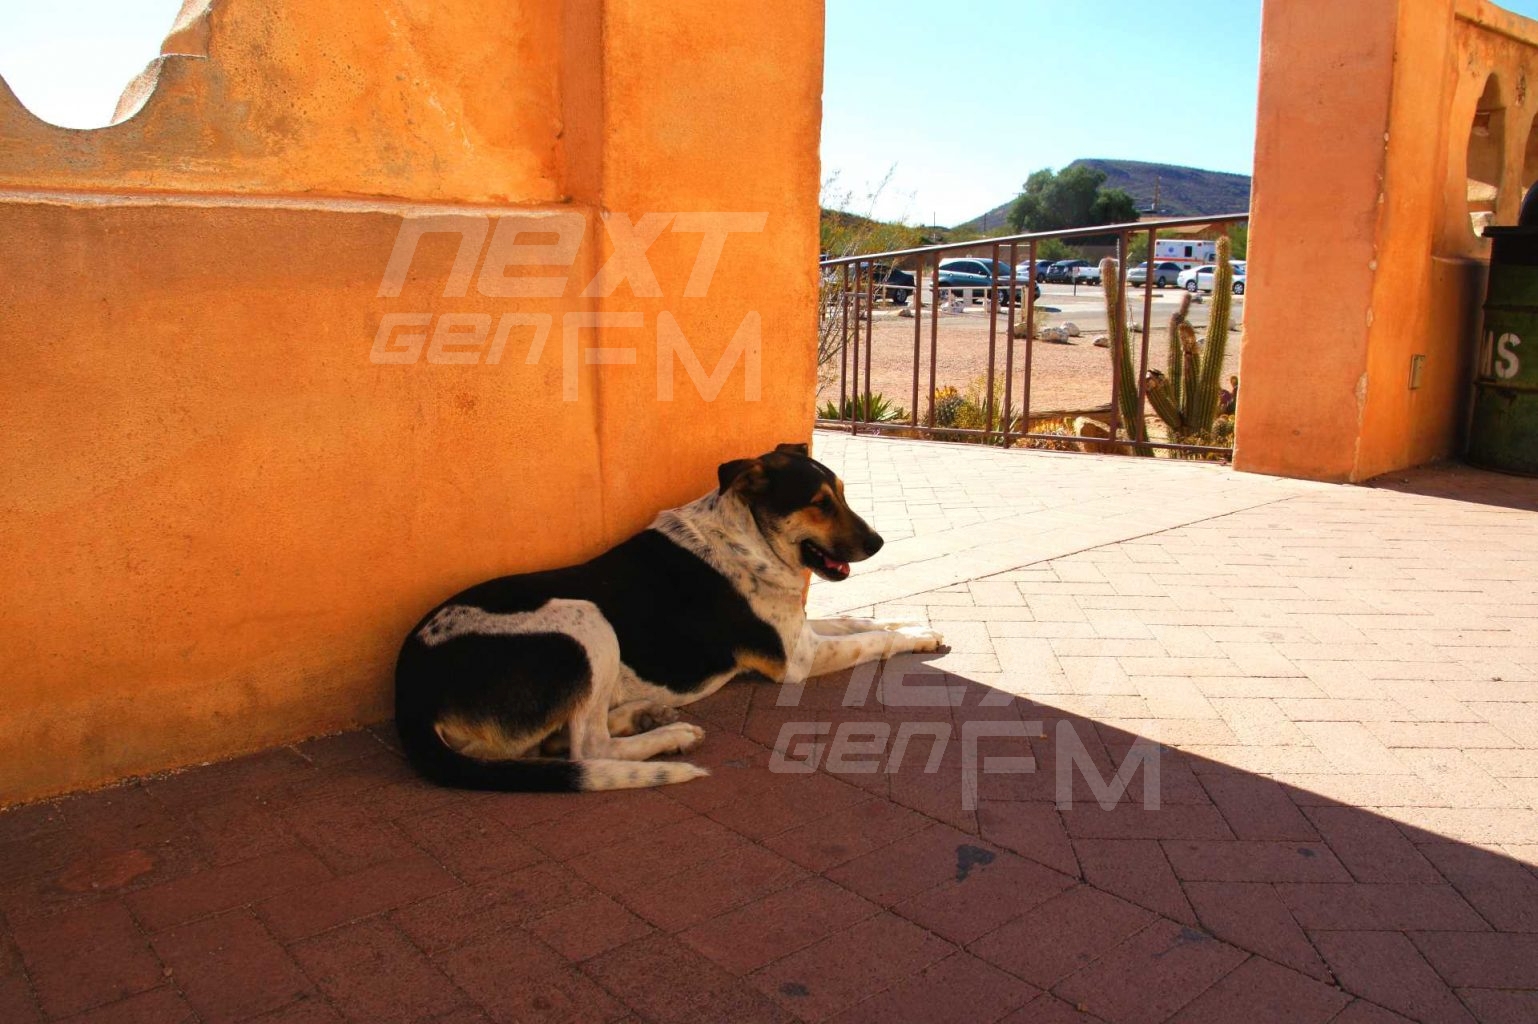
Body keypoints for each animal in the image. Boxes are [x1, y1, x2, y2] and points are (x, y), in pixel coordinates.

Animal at [390, 439, 941, 787]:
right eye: (819, 503)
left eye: (842, 495)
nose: (879, 542)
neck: (747, 539)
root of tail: (409, 692)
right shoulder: (797, 661)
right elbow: (871, 640)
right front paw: (912, 636)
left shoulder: (799, 634)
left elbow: (864, 622)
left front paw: (920, 630)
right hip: (585, 621)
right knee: (588, 748)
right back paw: (668, 735)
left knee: (555, 743)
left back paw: (643, 713)